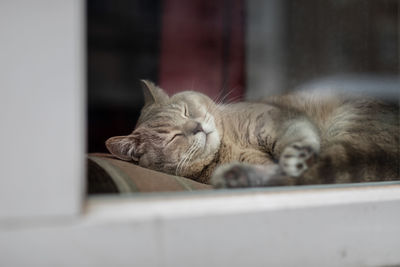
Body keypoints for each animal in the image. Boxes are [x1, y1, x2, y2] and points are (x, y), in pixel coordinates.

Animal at [106, 79, 400, 188]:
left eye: (187, 112)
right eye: (172, 137)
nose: (197, 127)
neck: (229, 143)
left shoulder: (277, 118)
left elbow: (294, 136)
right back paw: (236, 177)